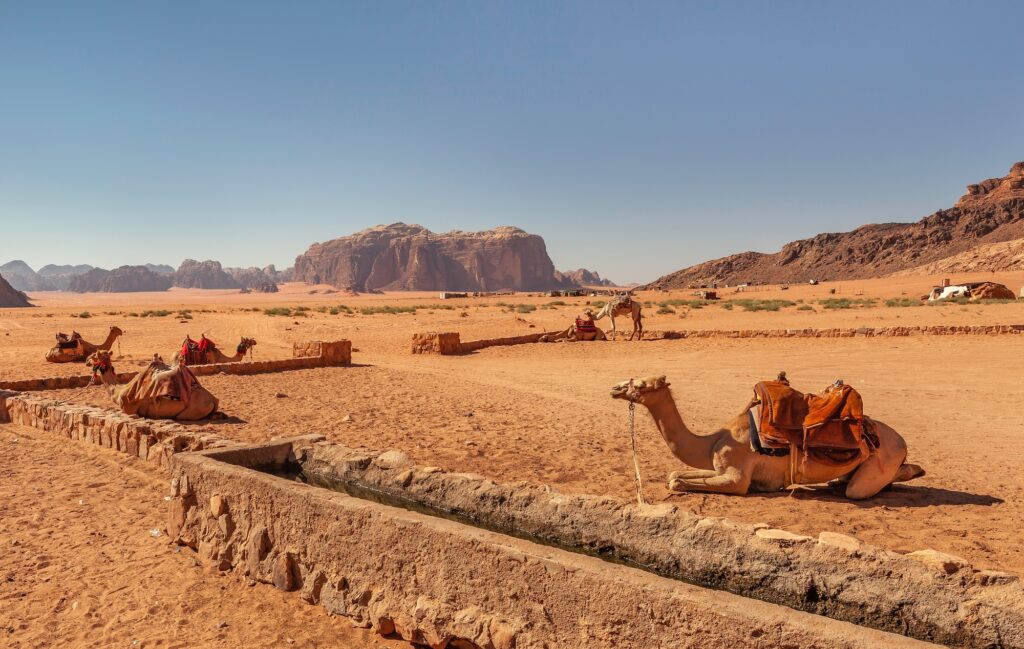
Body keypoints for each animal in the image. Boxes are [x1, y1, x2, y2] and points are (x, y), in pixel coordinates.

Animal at [87, 351, 219, 421]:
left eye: (94, 356)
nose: (87, 360)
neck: (117, 392)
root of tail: (214, 399)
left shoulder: (129, 410)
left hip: (189, 412)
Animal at [610, 376, 925, 499]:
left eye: (641, 384)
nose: (614, 388)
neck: (712, 440)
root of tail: (902, 441)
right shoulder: (721, 469)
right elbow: (675, 474)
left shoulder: (737, 478)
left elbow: (677, 481)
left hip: (881, 461)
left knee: (861, 488)